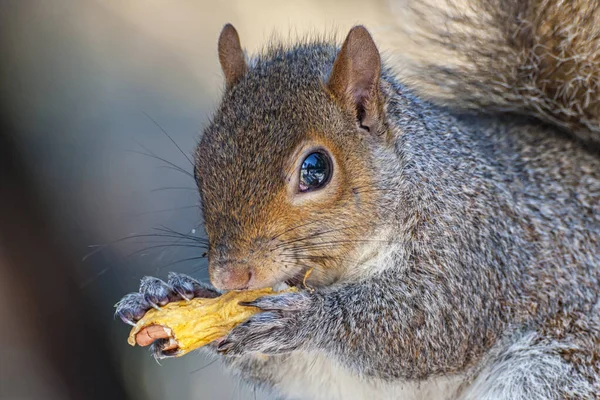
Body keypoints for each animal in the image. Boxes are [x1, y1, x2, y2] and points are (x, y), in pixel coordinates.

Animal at [116, 1, 600, 398]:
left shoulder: (474, 249)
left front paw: (308, 318)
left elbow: (432, 325)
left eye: (316, 169)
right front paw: (167, 294)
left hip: (555, 372)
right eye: (200, 165)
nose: (230, 276)